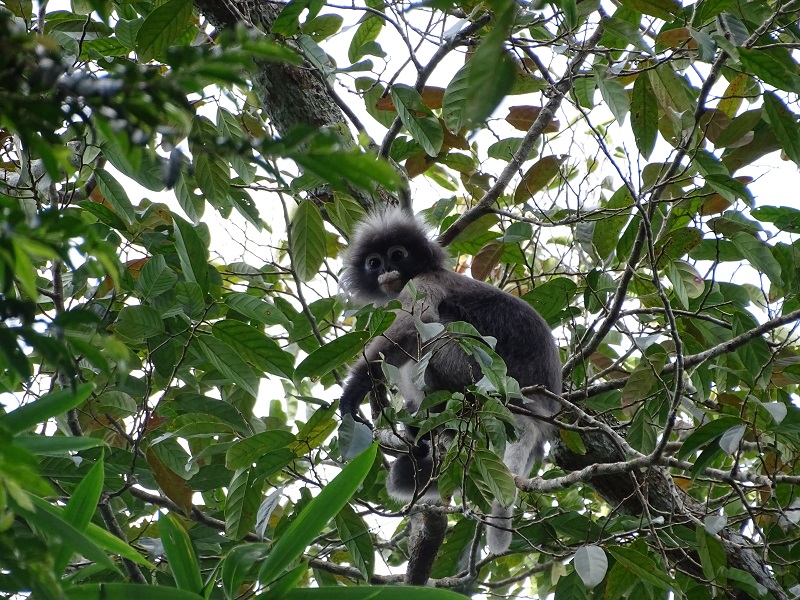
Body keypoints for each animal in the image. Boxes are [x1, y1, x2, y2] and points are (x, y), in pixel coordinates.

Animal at [338, 207, 561, 554]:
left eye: (397, 255)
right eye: (374, 262)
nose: (386, 269)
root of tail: (534, 406)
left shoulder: (423, 282)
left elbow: (413, 327)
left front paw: (352, 396)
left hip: (472, 374)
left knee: (432, 333)